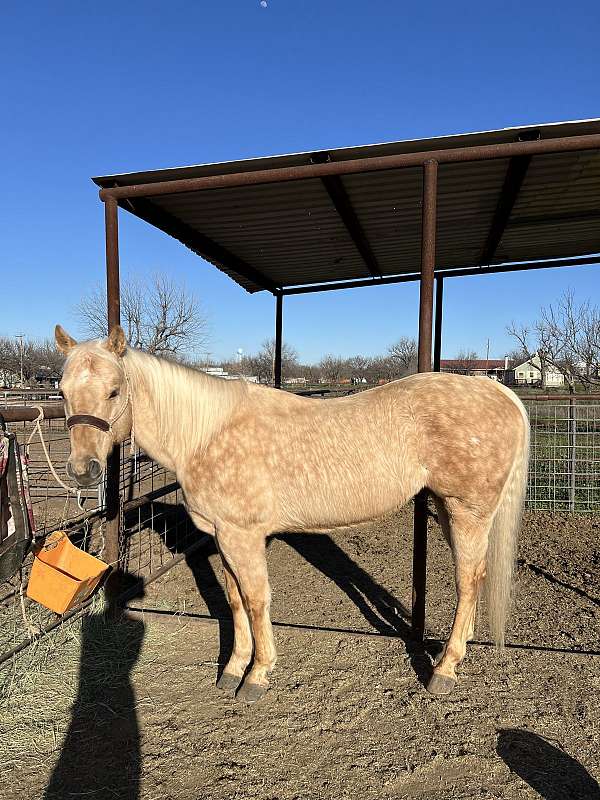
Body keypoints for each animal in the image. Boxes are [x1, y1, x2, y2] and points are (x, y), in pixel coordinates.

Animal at [56, 324, 528, 700]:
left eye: (114, 390)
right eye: (61, 391)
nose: (83, 470)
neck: (207, 432)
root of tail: (498, 390)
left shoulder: (243, 535)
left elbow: (255, 600)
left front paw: (257, 676)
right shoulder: (222, 535)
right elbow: (235, 599)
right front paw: (232, 669)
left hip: (467, 511)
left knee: (468, 579)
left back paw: (444, 669)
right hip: (449, 510)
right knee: (476, 576)